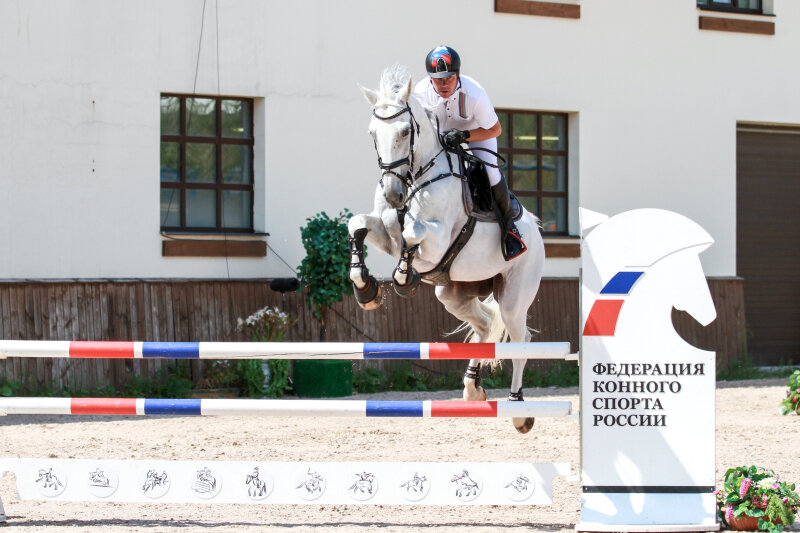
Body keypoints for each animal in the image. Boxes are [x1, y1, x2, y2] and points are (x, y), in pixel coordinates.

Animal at [348, 65, 546, 433]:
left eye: (404, 131)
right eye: (372, 133)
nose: (394, 194)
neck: (414, 177)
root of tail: (536, 230)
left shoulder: (437, 241)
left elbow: (412, 233)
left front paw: (403, 278)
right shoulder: (385, 233)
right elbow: (359, 224)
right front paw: (365, 288)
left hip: (515, 296)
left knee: (520, 340)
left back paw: (518, 409)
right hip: (454, 294)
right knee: (484, 325)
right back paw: (472, 388)